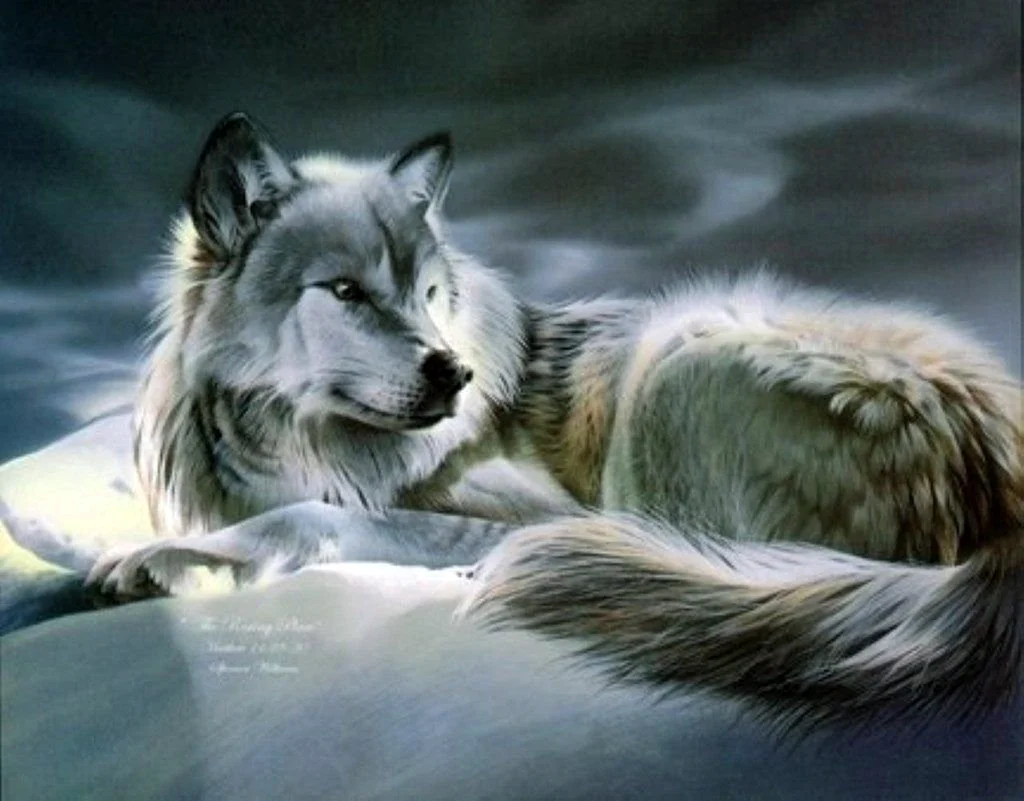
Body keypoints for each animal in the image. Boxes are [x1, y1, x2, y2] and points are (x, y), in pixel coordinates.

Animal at [86, 112, 1022, 729]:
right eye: (346, 291)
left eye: (430, 294)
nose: (453, 371)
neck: (301, 445)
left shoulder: (531, 513)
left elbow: (317, 517)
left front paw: (171, 560)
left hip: (673, 366)